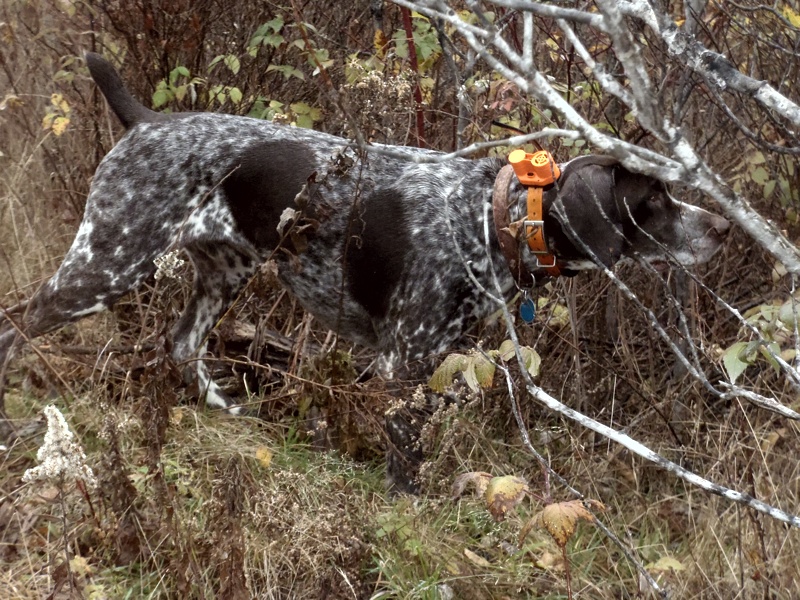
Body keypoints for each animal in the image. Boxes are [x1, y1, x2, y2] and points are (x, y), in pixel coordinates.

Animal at [0, 52, 732, 488]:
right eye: (654, 201)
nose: (723, 227)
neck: (489, 216)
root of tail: (146, 122)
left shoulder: (436, 361)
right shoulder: (403, 363)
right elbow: (405, 460)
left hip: (223, 271)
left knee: (180, 345)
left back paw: (231, 412)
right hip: (108, 263)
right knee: (18, 325)